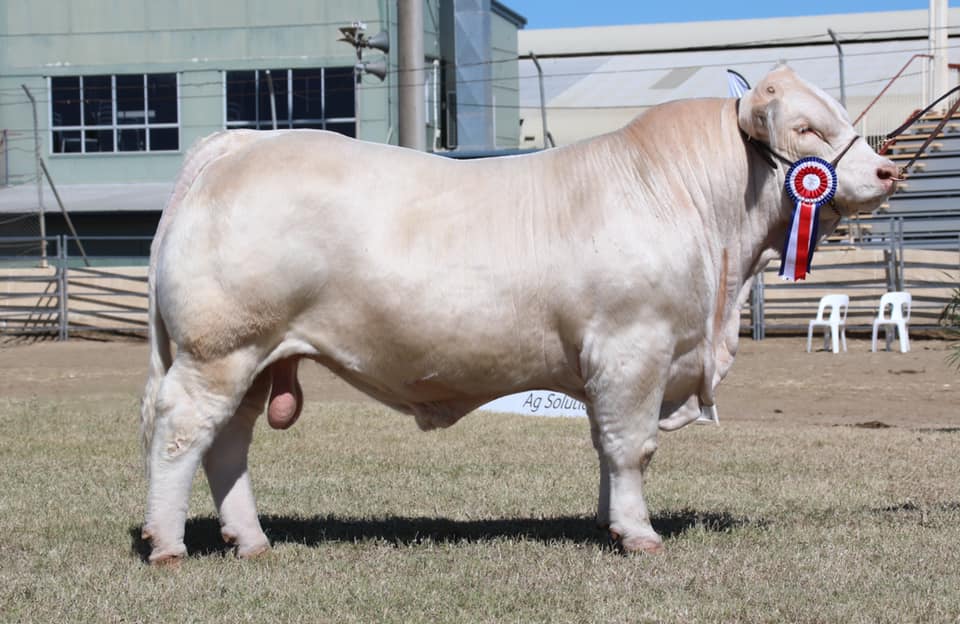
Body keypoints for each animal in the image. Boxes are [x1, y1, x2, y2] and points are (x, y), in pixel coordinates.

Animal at [139, 65, 898, 564]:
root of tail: (242, 144)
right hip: (218, 350)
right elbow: (632, 445)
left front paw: (607, 521)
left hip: (255, 358)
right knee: (181, 435)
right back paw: (169, 546)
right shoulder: (635, 346)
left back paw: (250, 540)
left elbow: (605, 442)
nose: (887, 171)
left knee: (228, 444)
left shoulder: (612, 363)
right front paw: (639, 533)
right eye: (805, 127)